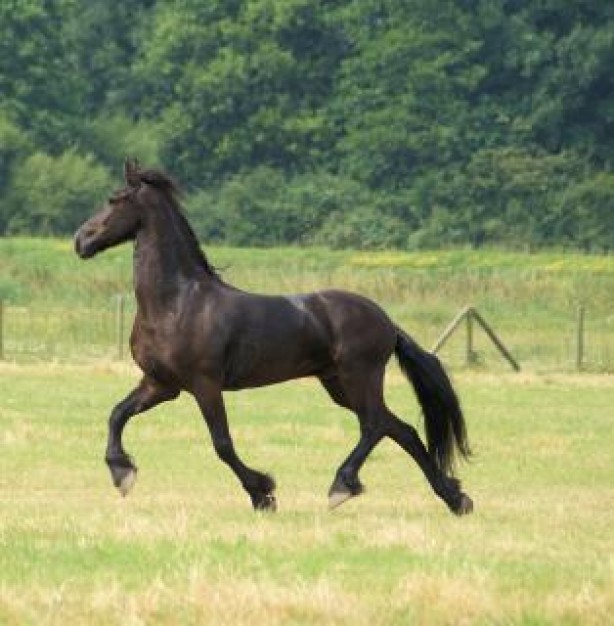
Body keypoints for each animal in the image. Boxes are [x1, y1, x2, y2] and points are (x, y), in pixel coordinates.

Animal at [74, 160, 474, 512]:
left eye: (114, 199)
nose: (81, 240)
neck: (177, 302)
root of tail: (387, 322)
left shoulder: (204, 383)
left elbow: (222, 443)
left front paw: (262, 492)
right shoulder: (161, 384)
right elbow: (117, 414)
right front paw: (122, 473)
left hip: (359, 376)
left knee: (375, 425)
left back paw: (342, 486)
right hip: (338, 384)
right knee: (400, 428)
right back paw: (455, 499)